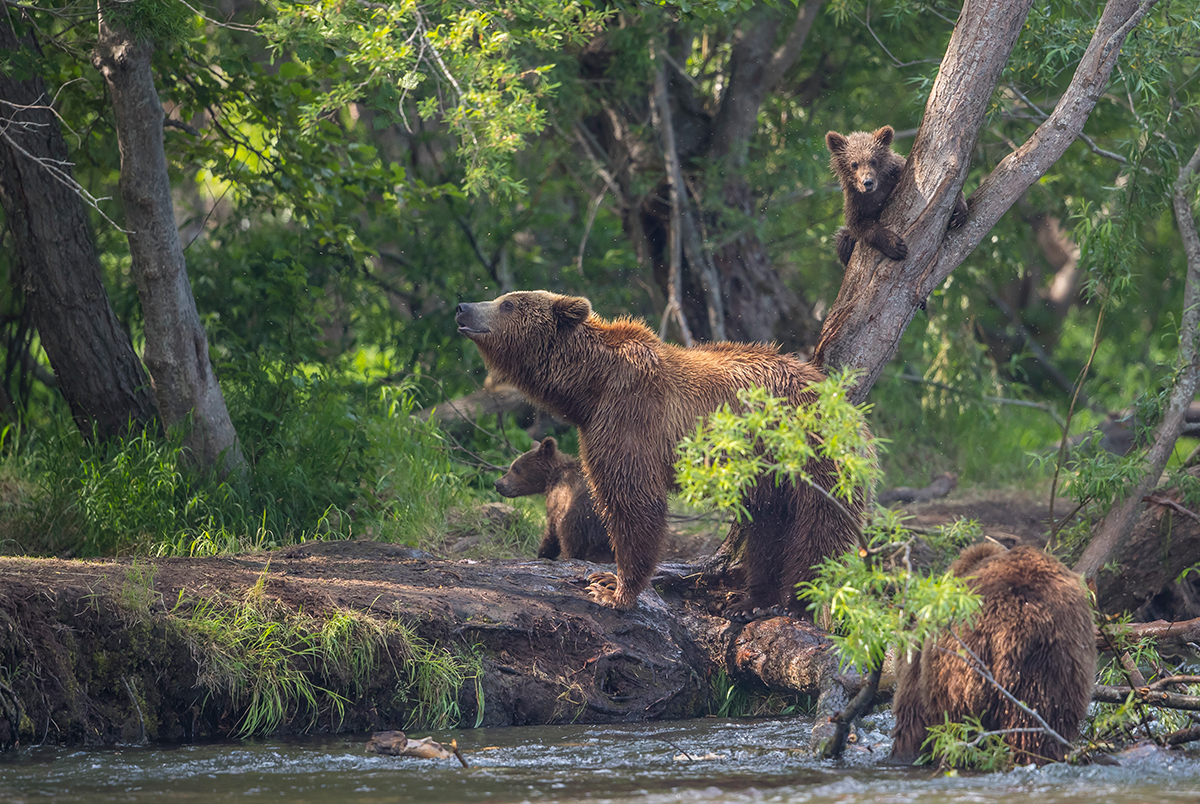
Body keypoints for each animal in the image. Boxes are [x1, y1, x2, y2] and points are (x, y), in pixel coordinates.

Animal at [492, 436, 614, 564]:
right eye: (512, 466)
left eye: (516, 468)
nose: (498, 484)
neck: (552, 477)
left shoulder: (559, 499)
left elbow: (551, 528)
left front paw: (543, 553)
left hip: (580, 514)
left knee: (570, 537)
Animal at [825, 124, 974, 266]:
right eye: (854, 164)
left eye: (873, 161)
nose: (867, 182)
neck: (879, 188)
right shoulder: (857, 201)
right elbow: (860, 225)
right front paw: (895, 246)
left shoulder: (899, 172)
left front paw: (958, 214)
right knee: (842, 239)